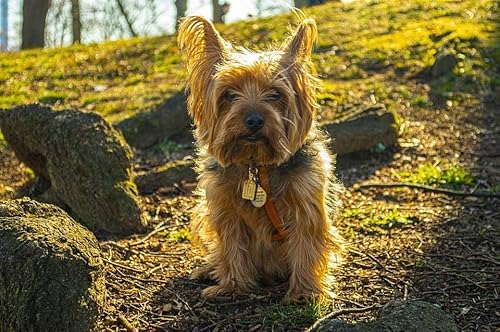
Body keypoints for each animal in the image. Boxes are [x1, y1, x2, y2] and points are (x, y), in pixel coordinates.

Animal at [177, 14, 344, 302]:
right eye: (229, 94)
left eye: (275, 94)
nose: (254, 120)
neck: (256, 165)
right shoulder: (224, 206)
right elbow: (231, 243)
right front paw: (233, 286)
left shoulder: (305, 203)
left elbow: (306, 242)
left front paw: (304, 291)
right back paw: (210, 269)